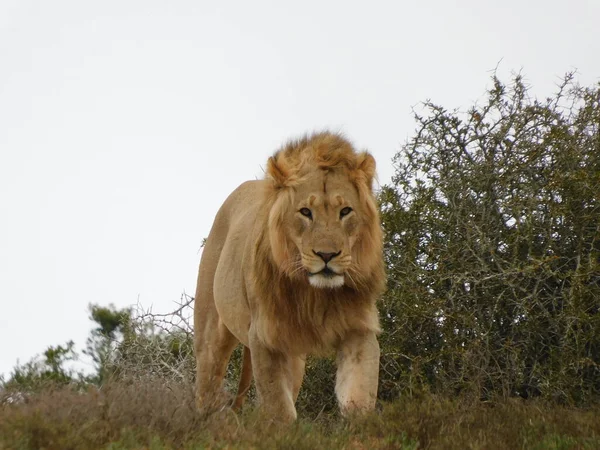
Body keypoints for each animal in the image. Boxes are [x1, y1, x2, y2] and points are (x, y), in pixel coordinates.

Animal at [195, 130, 386, 422]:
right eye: (306, 212)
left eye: (345, 212)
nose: (327, 255)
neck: (316, 293)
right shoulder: (265, 337)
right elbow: (279, 409)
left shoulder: (359, 328)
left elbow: (359, 393)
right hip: (210, 333)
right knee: (207, 388)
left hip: (295, 357)